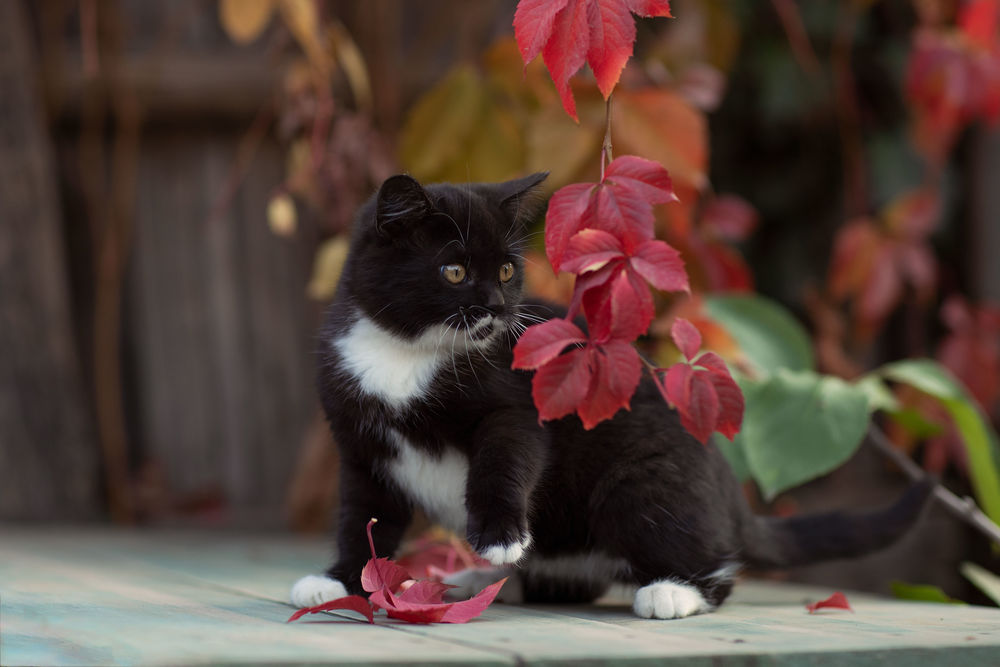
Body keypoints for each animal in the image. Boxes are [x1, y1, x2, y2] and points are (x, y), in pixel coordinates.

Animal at [290, 172, 928, 620]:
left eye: (505, 272)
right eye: (453, 271)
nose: (497, 310)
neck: (406, 353)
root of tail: (731, 499)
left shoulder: (517, 396)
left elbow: (508, 453)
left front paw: (499, 536)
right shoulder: (359, 438)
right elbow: (363, 513)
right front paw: (340, 579)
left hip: (641, 481)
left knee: (710, 558)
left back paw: (673, 591)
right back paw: (493, 583)